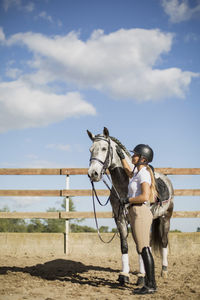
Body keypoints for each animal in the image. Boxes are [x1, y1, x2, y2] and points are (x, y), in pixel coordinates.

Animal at [87, 127, 173, 286]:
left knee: (164, 242)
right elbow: (124, 246)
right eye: (91, 150)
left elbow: (140, 247)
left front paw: (141, 277)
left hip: (166, 218)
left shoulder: (136, 220)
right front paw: (124, 275)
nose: (93, 174)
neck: (124, 184)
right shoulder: (120, 219)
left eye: (104, 148)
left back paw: (164, 271)